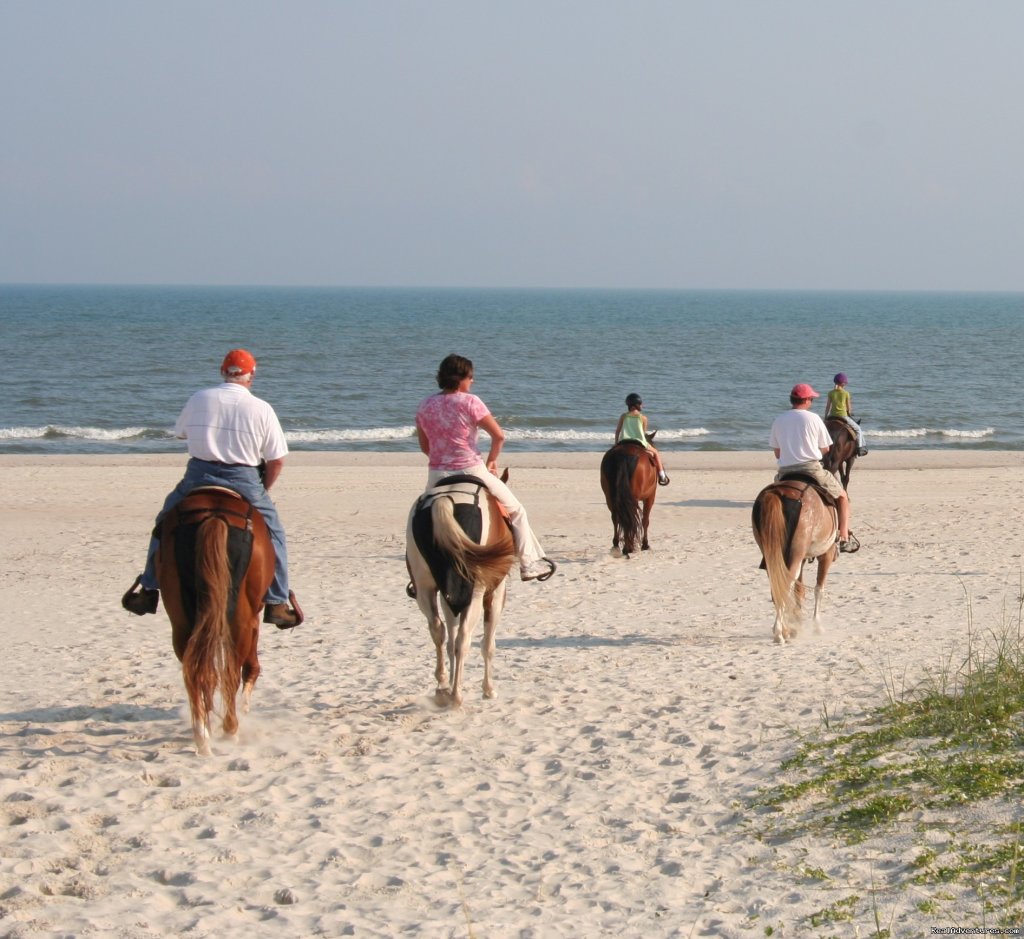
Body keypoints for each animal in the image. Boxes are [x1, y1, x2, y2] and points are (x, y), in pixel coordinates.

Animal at [152, 487, 272, 749]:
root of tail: (214, 516)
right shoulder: (254, 619)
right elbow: (251, 666)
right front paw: (244, 708)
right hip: (241, 618)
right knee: (230, 673)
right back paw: (230, 728)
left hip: (180, 618)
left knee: (196, 671)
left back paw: (203, 733)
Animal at [405, 468, 516, 704]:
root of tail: (444, 499)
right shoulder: (496, 594)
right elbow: (487, 644)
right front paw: (488, 689)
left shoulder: (448, 597)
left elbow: (449, 640)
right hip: (476, 591)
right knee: (464, 638)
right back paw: (456, 695)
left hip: (425, 587)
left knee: (437, 629)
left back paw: (443, 686)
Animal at [753, 477, 839, 643]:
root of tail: (777, 492)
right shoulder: (826, 554)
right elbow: (819, 589)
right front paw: (817, 626)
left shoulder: (802, 559)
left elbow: (799, 590)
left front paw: (797, 624)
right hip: (796, 555)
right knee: (785, 585)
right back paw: (779, 633)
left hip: (772, 555)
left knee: (778, 588)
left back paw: (785, 630)